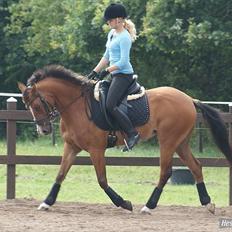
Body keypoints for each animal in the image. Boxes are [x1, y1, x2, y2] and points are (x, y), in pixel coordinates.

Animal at [18, 65, 232, 214]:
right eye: (28, 106)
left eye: (36, 105)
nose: (43, 129)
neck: (76, 107)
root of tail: (189, 99)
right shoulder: (71, 147)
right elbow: (60, 174)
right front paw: (47, 202)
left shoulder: (96, 149)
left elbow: (102, 180)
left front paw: (124, 203)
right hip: (180, 143)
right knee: (196, 166)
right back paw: (207, 203)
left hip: (168, 142)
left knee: (166, 172)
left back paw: (148, 206)